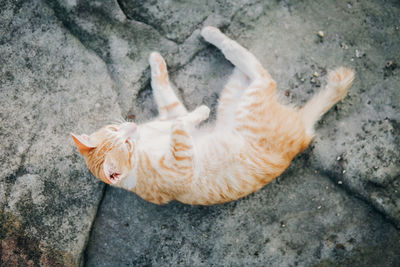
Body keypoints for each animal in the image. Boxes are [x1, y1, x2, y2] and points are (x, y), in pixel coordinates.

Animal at [71, 26, 354, 205]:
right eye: (127, 144)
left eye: (117, 131)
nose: (131, 128)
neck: (145, 143)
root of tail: (304, 134)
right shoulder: (181, 164)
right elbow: (180, 126)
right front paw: (201, 112)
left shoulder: (171, 112)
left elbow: (164, 93)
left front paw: (156, 61)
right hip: (247, 104)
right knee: (263, 76)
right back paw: (214, 35)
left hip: (235, 93)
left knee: (252, 67)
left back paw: (212, 34)